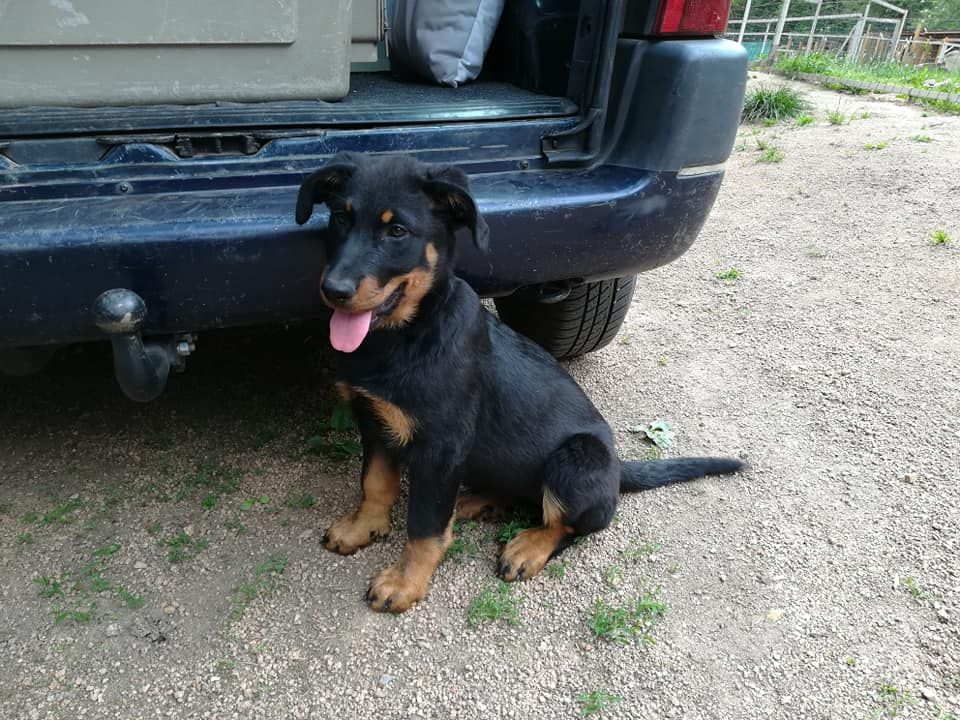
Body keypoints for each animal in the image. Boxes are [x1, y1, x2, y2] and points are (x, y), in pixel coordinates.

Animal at [294, 153, 744, 612]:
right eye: (340, 218)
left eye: (397, 231)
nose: (333, 289)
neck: (406, 335)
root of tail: (618, 469)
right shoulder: (375, 420)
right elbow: (374, 484)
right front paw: (361, 528)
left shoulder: (441, 447)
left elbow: (424, 526)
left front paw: (404, 583)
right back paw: (478, 500)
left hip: (576, 459)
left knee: (573, 524)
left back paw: (527, 547)